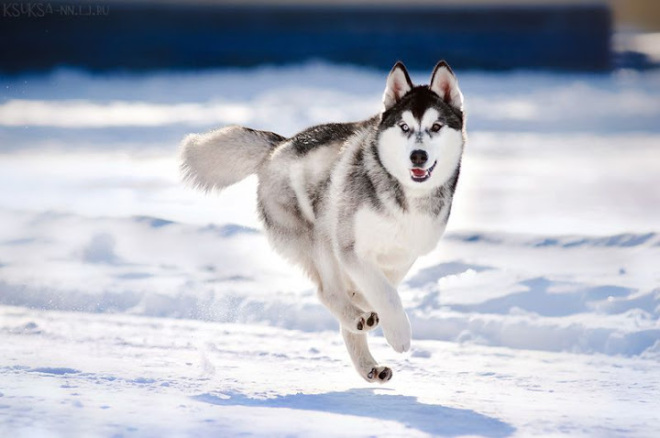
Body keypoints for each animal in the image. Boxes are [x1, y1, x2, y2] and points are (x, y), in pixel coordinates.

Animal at [182, 61, 464, 384]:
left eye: (436, 127)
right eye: (404, 127)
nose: (418, 156)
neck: (404, 195)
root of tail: (279, 146)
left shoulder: (402, 256)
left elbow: (380, 291)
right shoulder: (351, 250)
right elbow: (387, 296)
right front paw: (400, 335)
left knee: (349, 305)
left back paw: (368, 362)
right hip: (320, 238)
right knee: (327, 291)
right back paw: (357, 318)